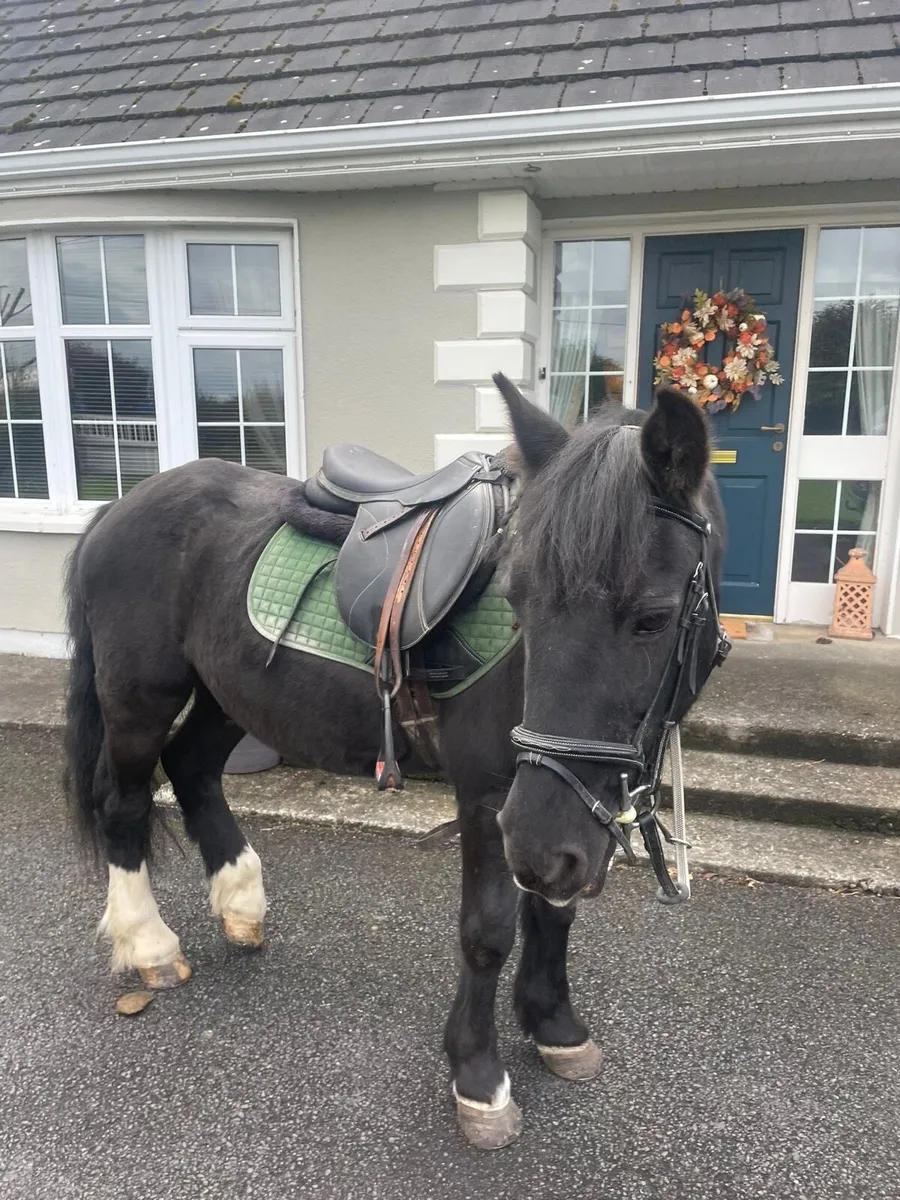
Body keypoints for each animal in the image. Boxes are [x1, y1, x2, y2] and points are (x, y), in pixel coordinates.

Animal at [64, 375, 725, 1150]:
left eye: (652, 618)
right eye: (519, 601)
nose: (537, 842)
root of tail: (120, 504)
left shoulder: (569, 810)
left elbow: (554, 913)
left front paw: (554, 1025)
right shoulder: (499, 799)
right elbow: (488, 930)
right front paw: (478, 1077)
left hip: (228, 693)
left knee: (193, 769)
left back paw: (240, 901)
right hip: (139, 697)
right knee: (127, 803)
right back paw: (150, 946)